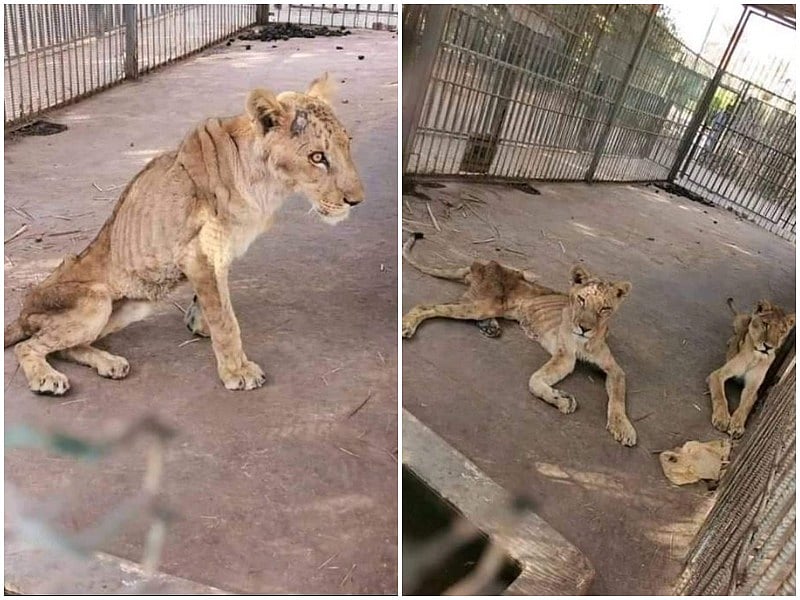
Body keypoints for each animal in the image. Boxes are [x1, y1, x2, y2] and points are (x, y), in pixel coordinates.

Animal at [4, 73, 364, 395]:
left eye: (347, 145)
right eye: (317, 157)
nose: (356, 201)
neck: (268, 186)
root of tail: (23, 310)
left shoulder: (216, 254)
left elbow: (214, 302)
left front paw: (198, 322)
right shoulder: (201, 253)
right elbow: (225, 318)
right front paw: (237, 371)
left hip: (135, 305)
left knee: (68, 346)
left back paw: (110, 363)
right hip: (95, 300)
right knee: (30, 346)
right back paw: (47, 378)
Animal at [402, 233, 637, 446]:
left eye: (605, 309)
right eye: (581, 300)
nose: (584, 328)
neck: (584, 341)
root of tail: (482, 265)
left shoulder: (615, 369)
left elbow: (618, 397)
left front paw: (623, 428)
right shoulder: (565, 357)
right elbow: (535, 381)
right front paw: (562, 400)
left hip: (492, 303)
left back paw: (490, 327)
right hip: (485, 303)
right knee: (427, 306)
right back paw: (407, 325)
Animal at [708, 298, 795, 438]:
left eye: (782, 332)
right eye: (765, 324)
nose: (768, 347)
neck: (756, 357)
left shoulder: (752, 388)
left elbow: (745, 406)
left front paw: (737, 425)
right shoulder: (717, 374)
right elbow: (720, 396)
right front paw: (722, 419)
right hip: (740, 321)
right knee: (737, 331)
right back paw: (730, 341)